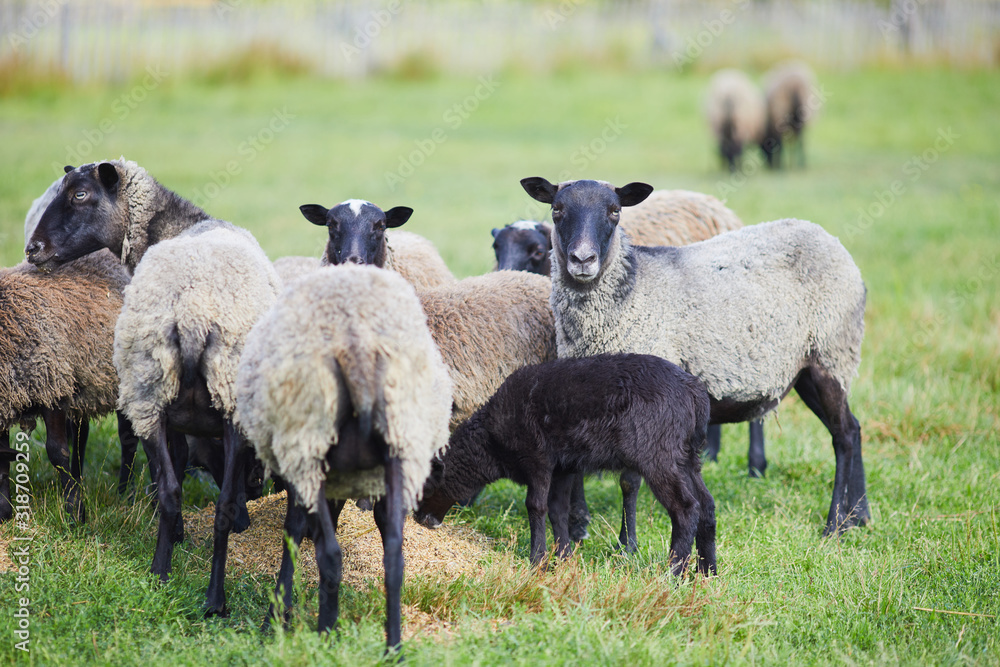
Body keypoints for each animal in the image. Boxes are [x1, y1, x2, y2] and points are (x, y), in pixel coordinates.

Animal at [27, 158, 278, 616]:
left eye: (80, 194)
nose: (32, 249)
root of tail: (193, 315)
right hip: (198, 402)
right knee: (200, 499)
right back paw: (201, 593)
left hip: (163, 398)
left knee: (179, 490)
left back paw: (173, 579)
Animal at [235, 264, 452, 650]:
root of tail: (357, 348)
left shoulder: (303, 468)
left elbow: (295, 531)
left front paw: (275, 617)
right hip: (399, 447)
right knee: (394, 557)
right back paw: (393, 648)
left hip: (312, 448)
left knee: (331, 555)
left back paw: (325, 633)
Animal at [414, 353, 716, 577]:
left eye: (426, 484)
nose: (420, 519)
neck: (491, 442)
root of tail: (694, 392)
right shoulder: (563, 467)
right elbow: (557, 510)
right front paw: (563, 557)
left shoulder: (537, 458)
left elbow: (536, 506)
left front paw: (537, 560)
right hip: (687, 456)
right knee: (707, 505)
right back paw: (707, 572)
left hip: (658, 454)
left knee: (685, 508)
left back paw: (673, 574)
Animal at [521, 177, 869, 539]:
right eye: (557, 210)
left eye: (614, 211)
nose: (582, 259)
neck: (631, 294)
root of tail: (829, 239)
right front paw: (576, 531)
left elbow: (630, 480)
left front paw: (626, 543)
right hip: (809, 369)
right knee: (855, 428)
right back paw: (859, 516)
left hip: (832, 355)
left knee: (844, 436)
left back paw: (834, 525)